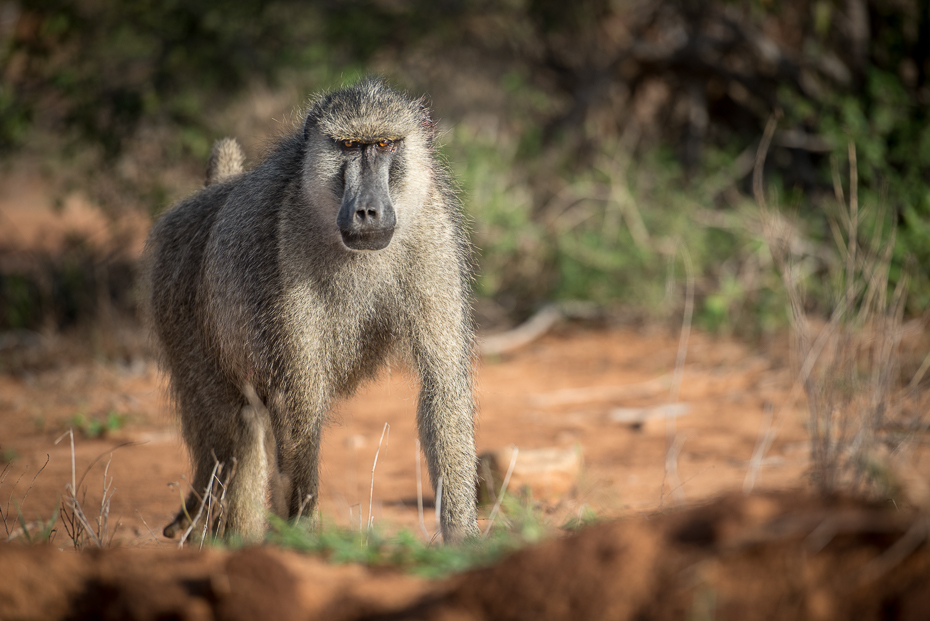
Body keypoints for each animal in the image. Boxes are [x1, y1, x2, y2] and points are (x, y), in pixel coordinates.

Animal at [147, 78, 478, 544]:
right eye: (347, 146)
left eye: (384, 144)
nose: (366, 211)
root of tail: (208, 197)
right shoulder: (285, 254)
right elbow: (299, 401)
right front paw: (302, 531)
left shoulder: (435, 237)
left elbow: (442, 387)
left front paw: (463, 538)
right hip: (181, 315)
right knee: (234, 439)